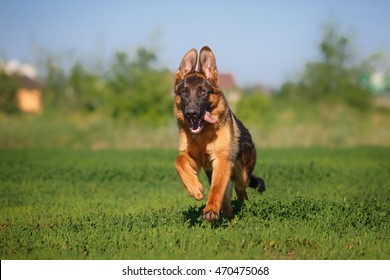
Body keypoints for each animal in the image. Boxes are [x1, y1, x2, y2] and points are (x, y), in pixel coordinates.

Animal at [174, 46, 266, 221]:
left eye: (203, 92)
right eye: (184, 92)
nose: (191, 114)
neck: (203, 134)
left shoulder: (222, 160)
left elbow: (216, 189)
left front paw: (210, 210)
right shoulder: (195, 159)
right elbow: (179, 161)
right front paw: (194, 188)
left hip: (241, 175)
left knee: (241, 189)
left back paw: (241, 208)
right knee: (228, 195)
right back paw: (229, 215)